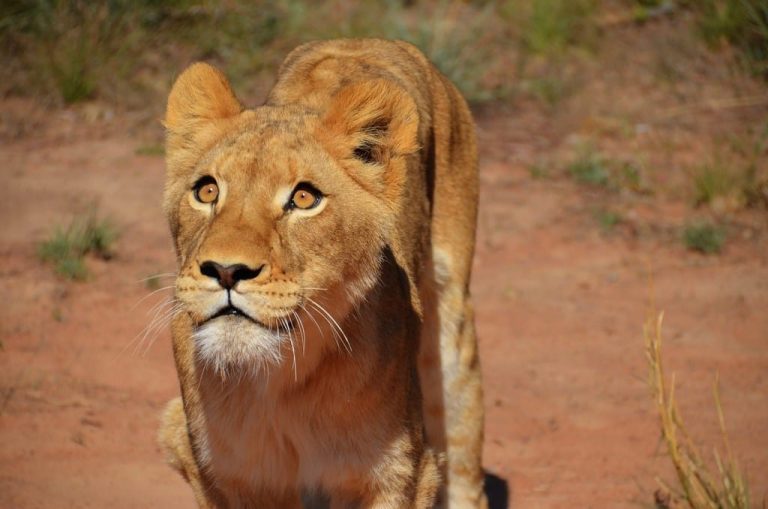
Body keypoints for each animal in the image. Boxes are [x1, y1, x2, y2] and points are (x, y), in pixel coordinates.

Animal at [158, 39, 486, 508]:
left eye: (304, 198)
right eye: (207, 190)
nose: (225, 270)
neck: (280, 385)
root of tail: (369, 40)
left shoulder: (402, 473)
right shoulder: (215, 471)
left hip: (452, 338)